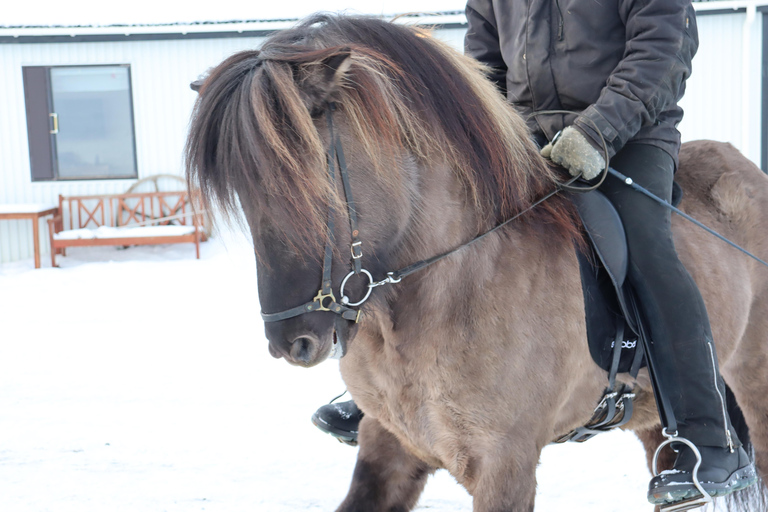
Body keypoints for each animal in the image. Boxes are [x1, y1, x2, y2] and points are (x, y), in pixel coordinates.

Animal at [186, 14, 768, 510]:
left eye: (309, 174)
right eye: (243, 192)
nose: (292, 342)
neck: (449, 284)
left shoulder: (504, 465)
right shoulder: (388, 445)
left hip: (753, 382)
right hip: (652, 420)